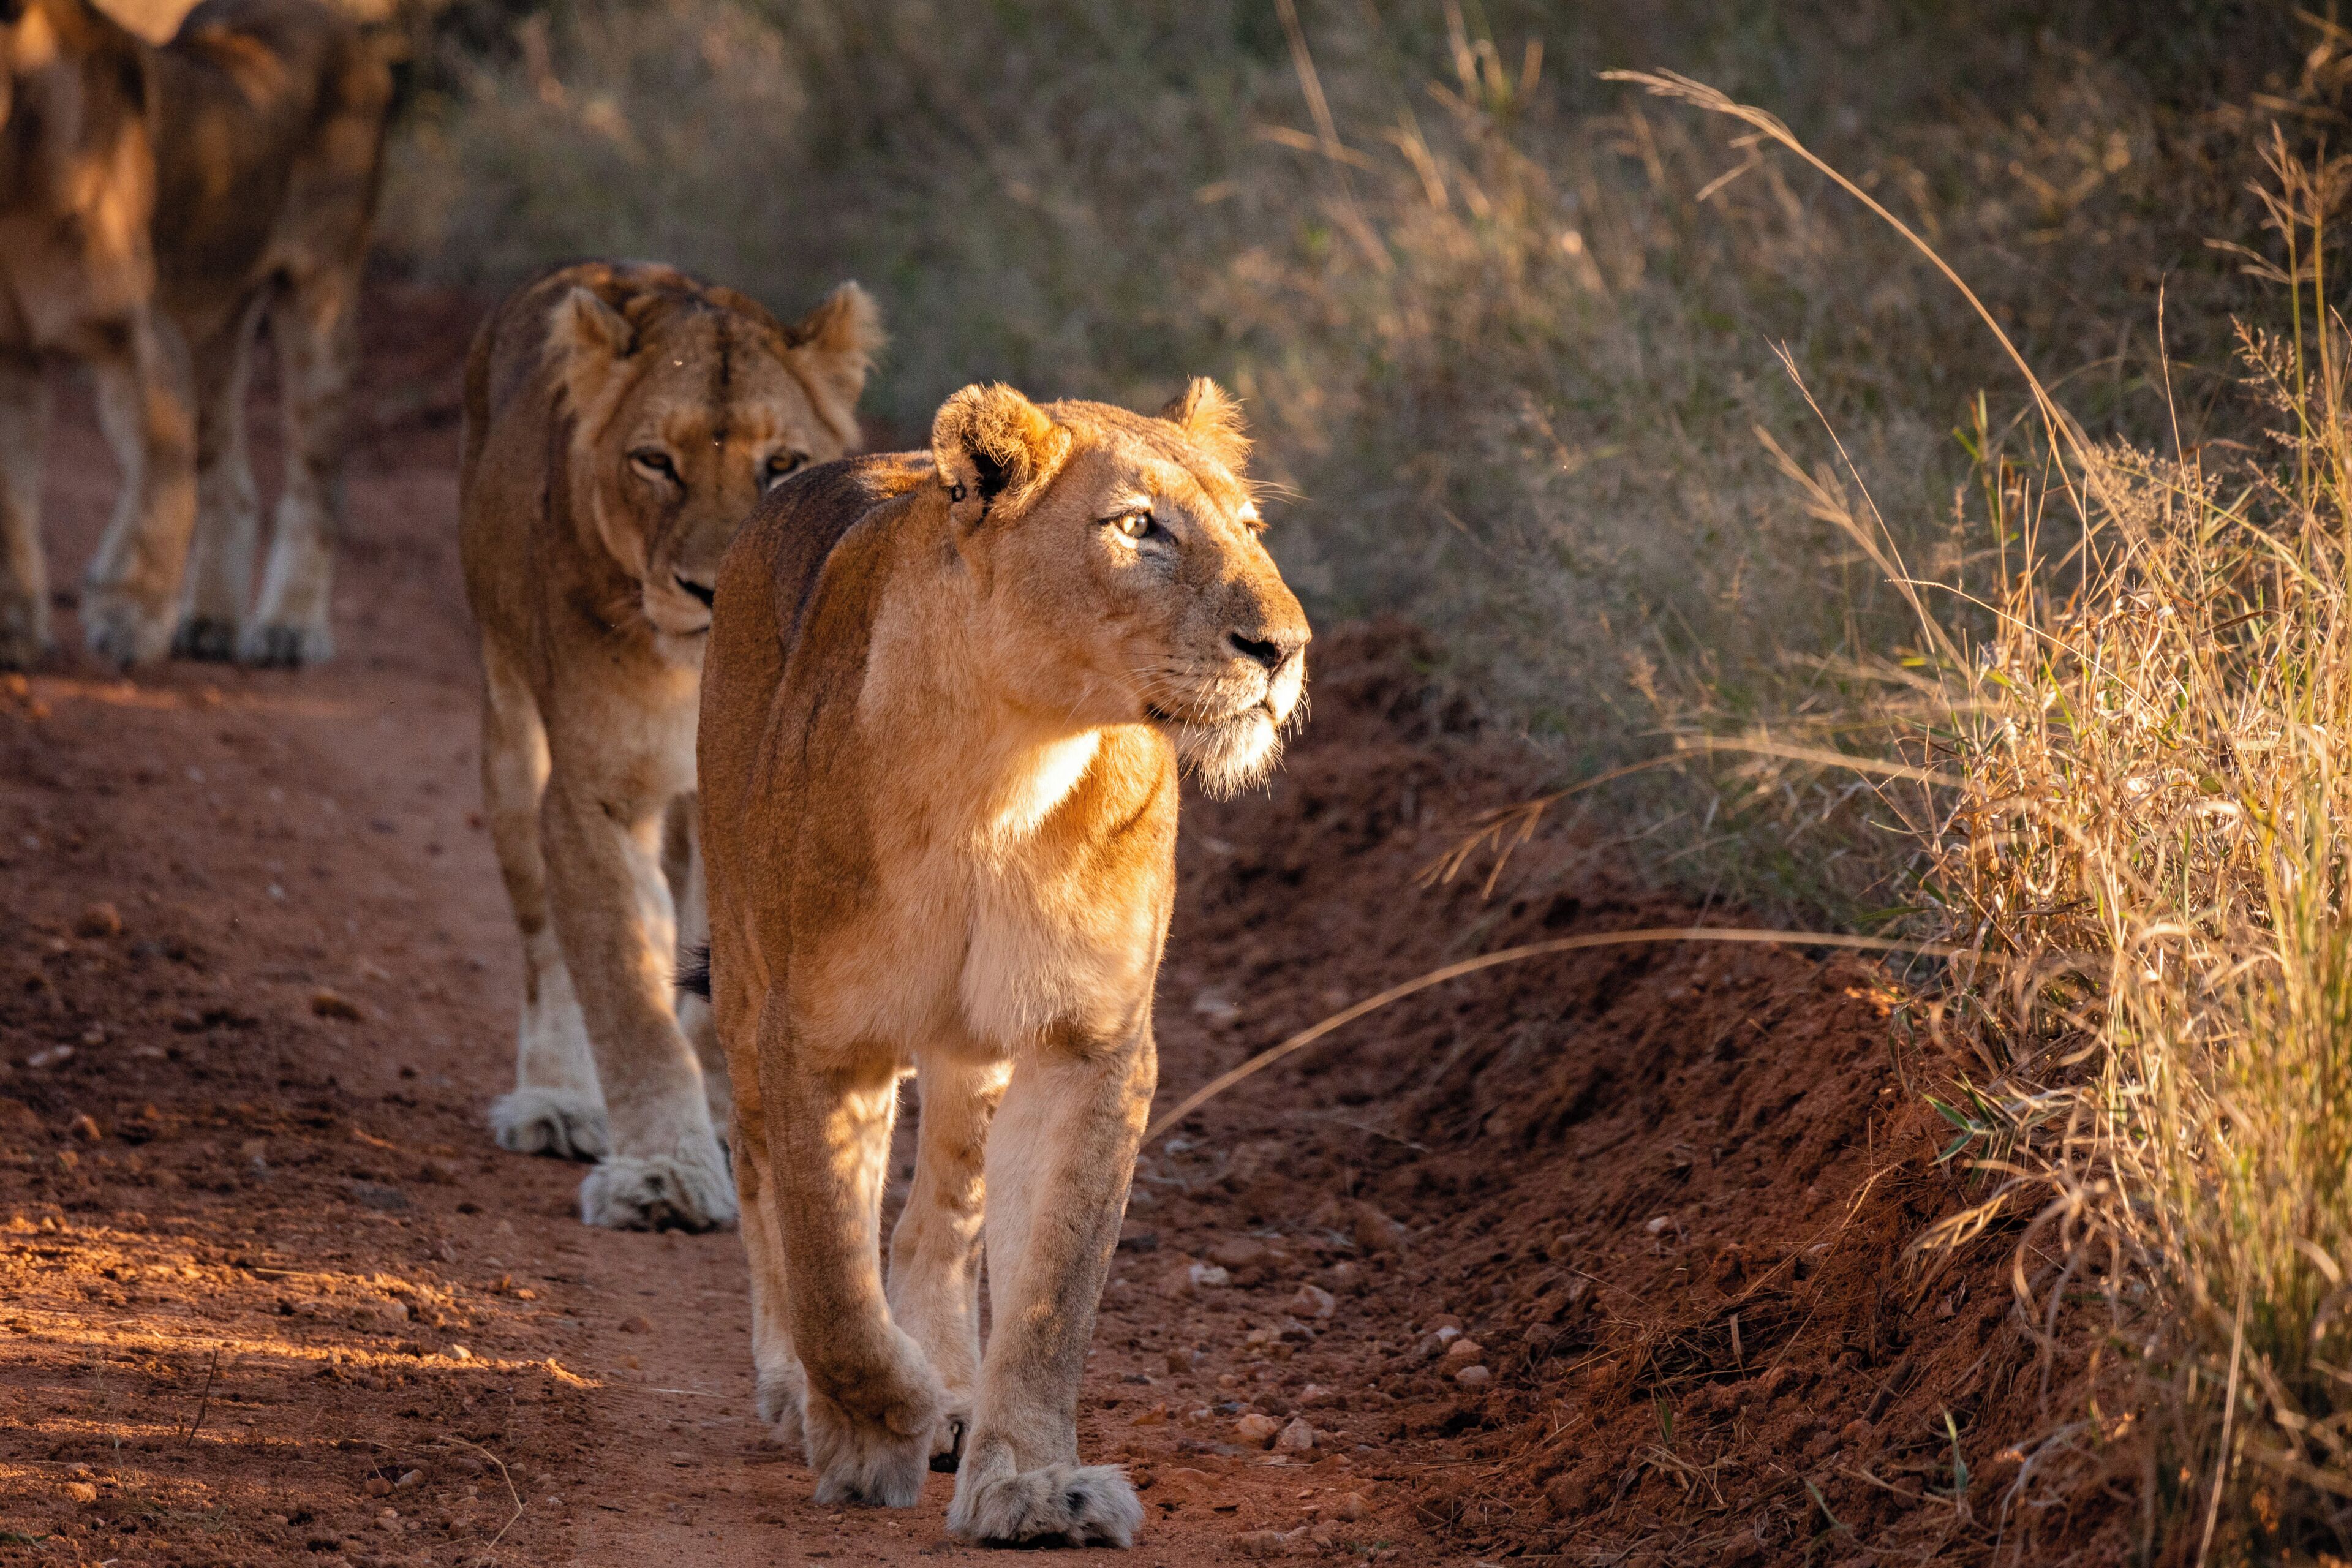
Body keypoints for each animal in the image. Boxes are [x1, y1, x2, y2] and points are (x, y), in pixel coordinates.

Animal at [0, 0, 390, 670]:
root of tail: (335, 17)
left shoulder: (144, 336)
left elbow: (163, 472)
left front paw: (129, 612)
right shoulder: (11, 352)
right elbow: (10, 503)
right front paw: (14, 632)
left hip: (321, 293)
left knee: (316, 480)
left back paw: (288, 629)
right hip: (215, 325)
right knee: (230, 481)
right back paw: (208, 622)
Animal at [461, 259, 882, 1235]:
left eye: (782, 464)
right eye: (655, 460)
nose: (711, 588)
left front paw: (735, 1128)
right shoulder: (591, 794)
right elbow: (623, 987)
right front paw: (662, 1170)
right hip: (510, 739)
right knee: (548, 946)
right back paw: (557, 1100)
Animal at [693, 378, 1309, 1545]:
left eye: (1254, 528)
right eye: (1138, 528)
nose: (1285, 647)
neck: (1011, 763)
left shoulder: (1088, 1043)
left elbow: (1050, 1292)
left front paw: (1027, 1481)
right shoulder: (820, 1033)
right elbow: (830, 1275)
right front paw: (875, 1424)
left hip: (973, 1044)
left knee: (942, 1217)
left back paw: (950, 1383)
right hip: (745, 982)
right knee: (764, 1191)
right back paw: (805, 1389)